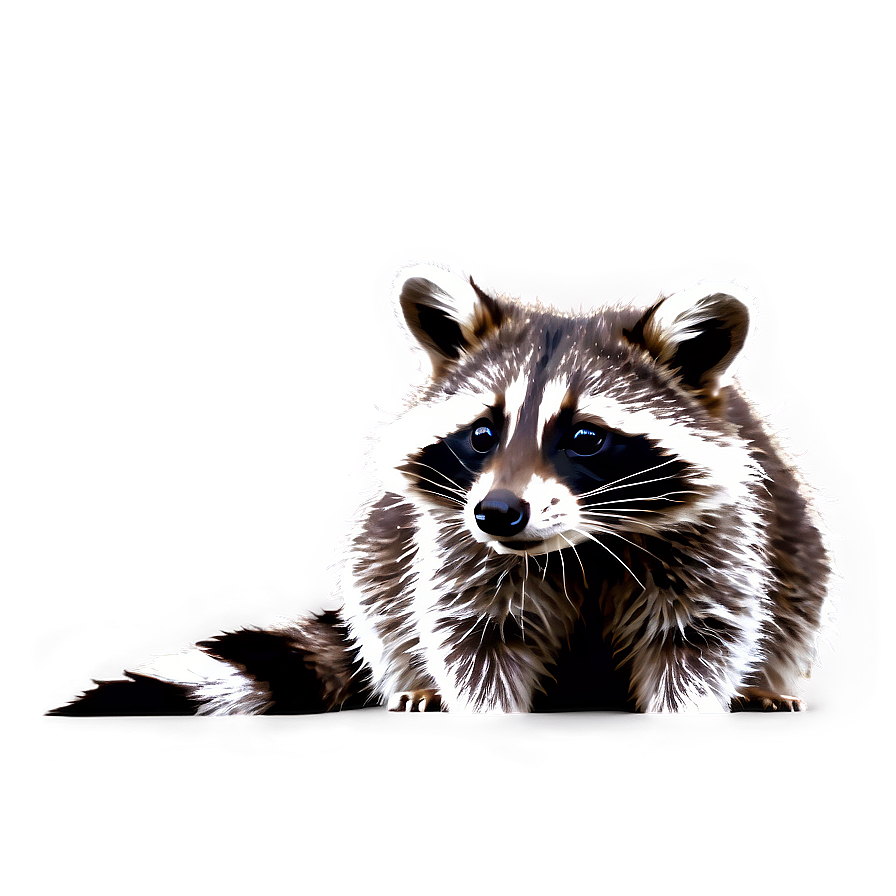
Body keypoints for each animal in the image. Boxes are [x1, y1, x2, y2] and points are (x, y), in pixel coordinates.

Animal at [51, 263, 837, 716]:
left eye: (585, 438)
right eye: (482, 434)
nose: (498, 513)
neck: (577, 543)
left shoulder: (715, 539)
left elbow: (699, 638)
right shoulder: (456, 544)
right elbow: (475, 637)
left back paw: (766, 687)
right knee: (379, 583)